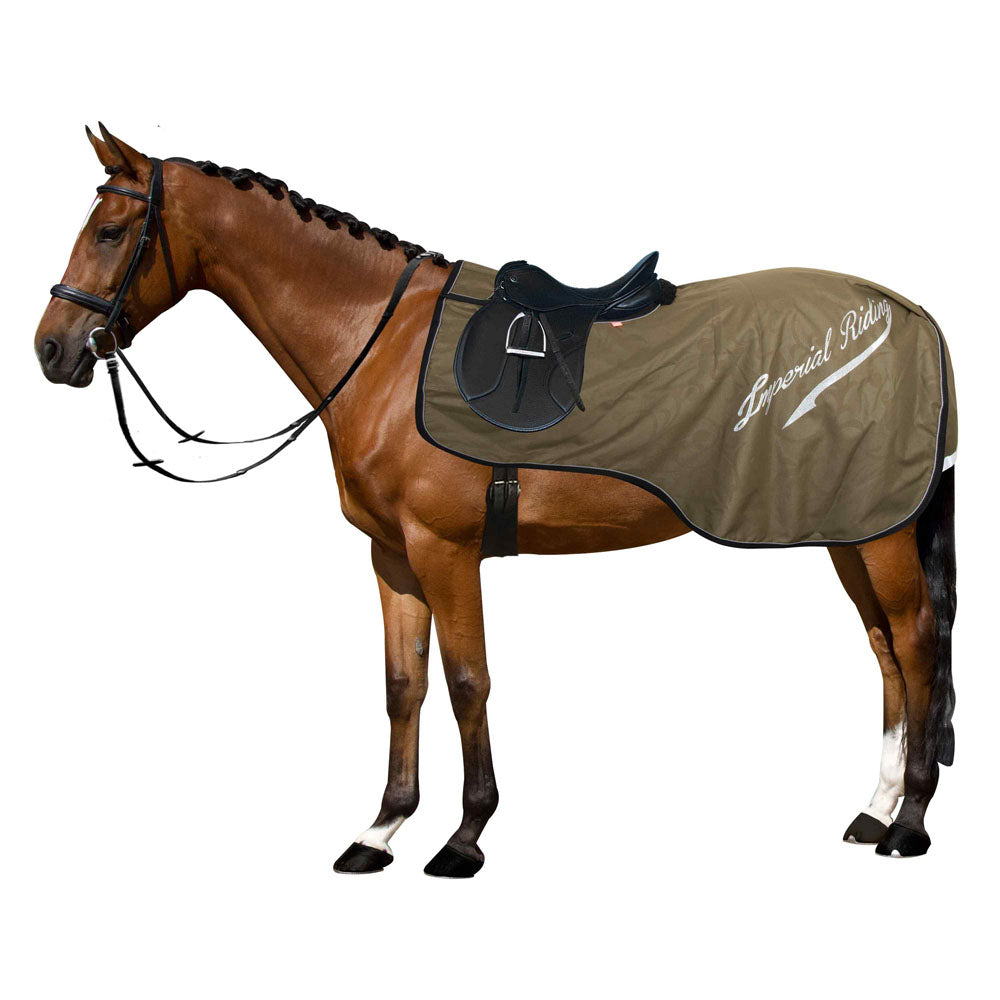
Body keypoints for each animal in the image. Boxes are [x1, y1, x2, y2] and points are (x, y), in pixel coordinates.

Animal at [34, 125, 957, 876]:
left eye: (110, 232)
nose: (51, 349)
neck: (383, 343)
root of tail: (911, 314)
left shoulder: (445, 549)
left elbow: (466, 679)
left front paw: (463, 838)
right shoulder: (393, 556)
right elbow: (402, 684)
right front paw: (381, 830)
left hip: (878, 534)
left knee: (915, 644)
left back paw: (910, 822)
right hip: (848, 529)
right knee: (884, 651)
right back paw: (873, 811)